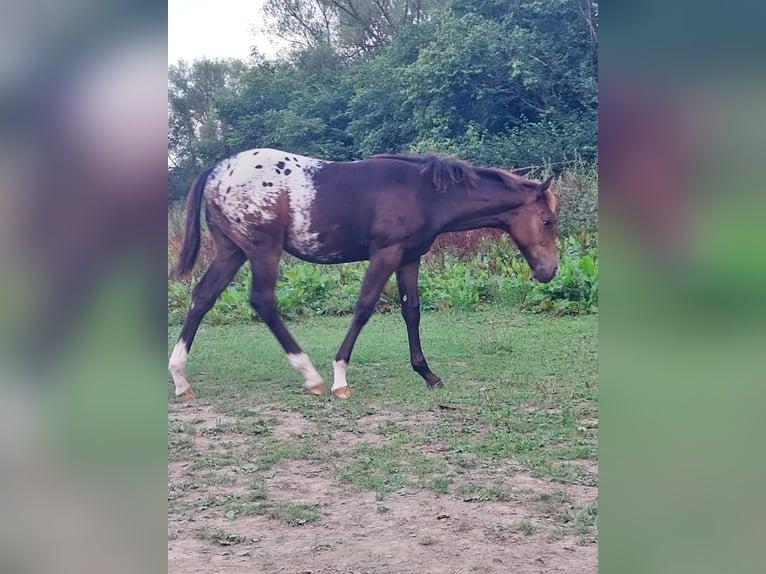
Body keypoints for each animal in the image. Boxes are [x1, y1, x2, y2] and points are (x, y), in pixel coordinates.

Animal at [171, 150, 560, 400]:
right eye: (547, 221)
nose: (550, 271)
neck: (424, 193)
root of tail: (217, 170)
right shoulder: (385, 254)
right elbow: (364, 307)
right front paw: (340, 378)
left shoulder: (408, 258)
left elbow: (411, 311)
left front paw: (428, 374)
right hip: (263, 250)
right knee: (263, 301)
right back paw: (311, 376)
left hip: (231, 252)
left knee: (202, 297)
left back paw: (180, 378)